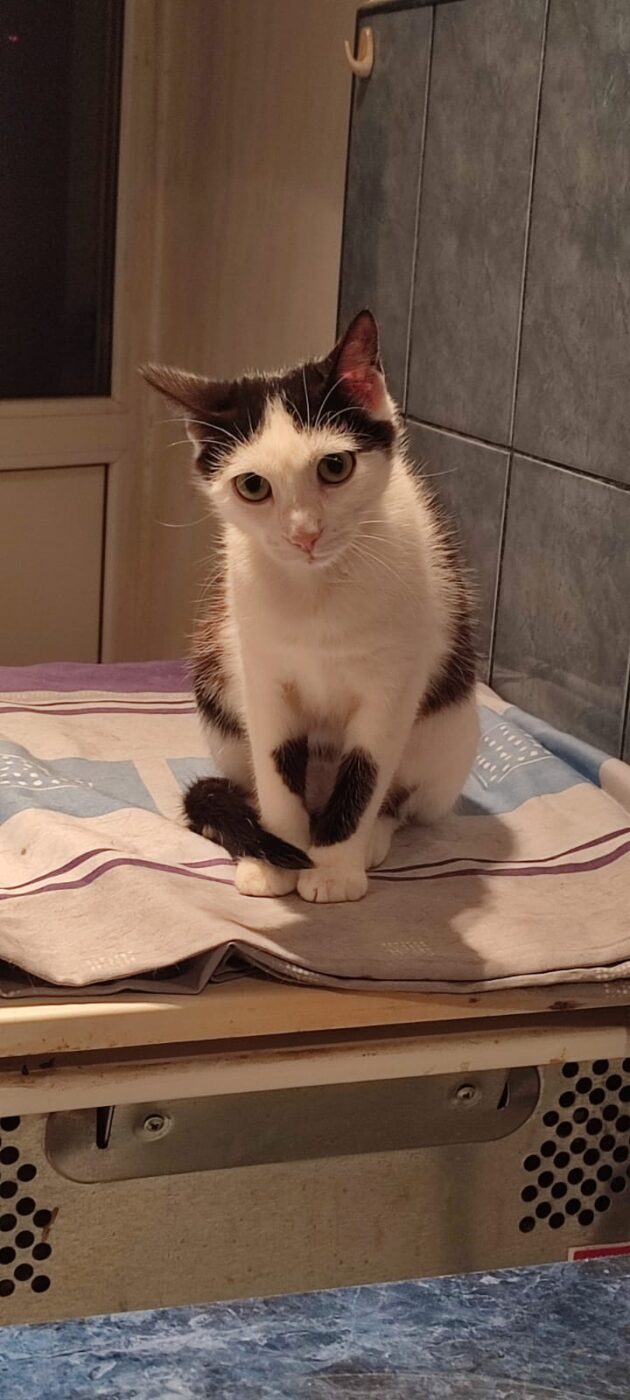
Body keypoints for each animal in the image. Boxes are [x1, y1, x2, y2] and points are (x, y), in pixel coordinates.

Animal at [143, 309, 478, 903]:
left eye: (335, 467)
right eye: (253, 485)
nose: (305, 534)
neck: (317, 589)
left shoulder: (391, 688)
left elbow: (365, 777)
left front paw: (334, 871)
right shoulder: (262, 674)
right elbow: (277, 765)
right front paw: (277, 859)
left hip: (451, 738)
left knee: (400, 798)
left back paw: (372, 838)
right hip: (217, 694)